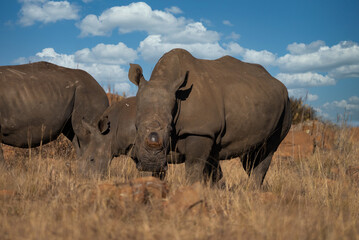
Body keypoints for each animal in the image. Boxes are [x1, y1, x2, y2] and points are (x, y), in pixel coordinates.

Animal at [129, 48, 292, 186]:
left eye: (170, 129)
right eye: (136, 127)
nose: (151, 163)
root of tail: (279, 84)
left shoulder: (200, 131)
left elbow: (193, 168)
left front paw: (191, 190)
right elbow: (158, 174)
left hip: (286, 106)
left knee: (267, 151)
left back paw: (253, 190)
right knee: (249, 156)